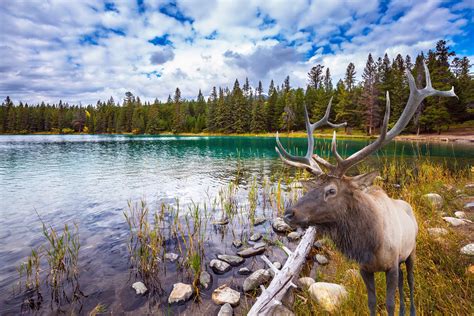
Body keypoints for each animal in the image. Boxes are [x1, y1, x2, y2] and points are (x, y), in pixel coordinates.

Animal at [276, 63, 458, 314]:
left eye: (331, 190)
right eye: (313, 187)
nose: (289, 213)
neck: (370, 245)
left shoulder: (391, 264)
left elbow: (389, 303)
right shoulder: (365, 268)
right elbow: (372, 302)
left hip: (411, 251)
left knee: (410, 281)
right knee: (403, 283)